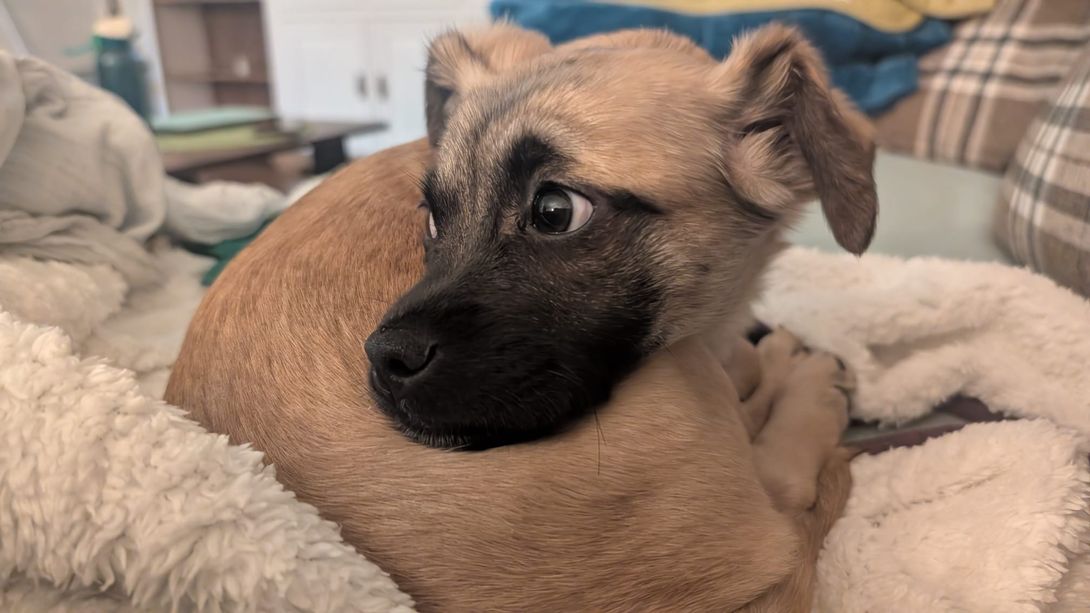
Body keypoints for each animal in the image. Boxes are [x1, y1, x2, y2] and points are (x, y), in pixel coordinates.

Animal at [167, 23, 876, 611]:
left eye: (557, 211)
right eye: (434, 216)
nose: (384, 362)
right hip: (691, 397)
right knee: (789, 478)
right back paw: (805, 380)